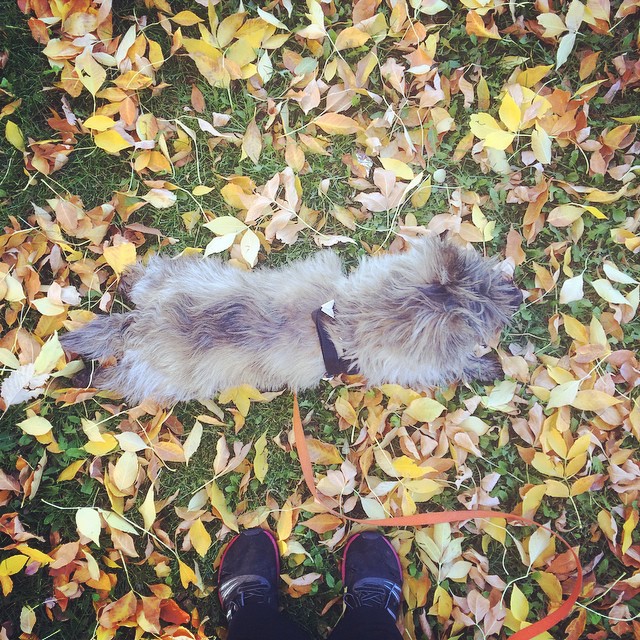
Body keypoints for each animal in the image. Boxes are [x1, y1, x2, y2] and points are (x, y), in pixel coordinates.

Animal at [58, 235, 520, 404]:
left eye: (492, 278)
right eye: (491, 311)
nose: (518, 294)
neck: (359, 313)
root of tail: (142, 322)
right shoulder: (403, 367)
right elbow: (451, 368)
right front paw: (485, 366)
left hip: (179, 274)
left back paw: (130, 277)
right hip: (158, 382)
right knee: (115, 378)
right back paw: (86, 379)